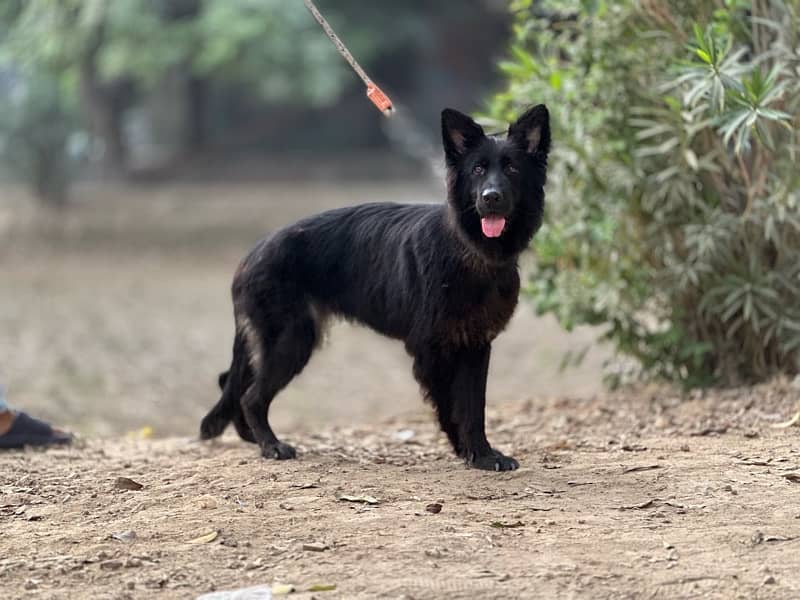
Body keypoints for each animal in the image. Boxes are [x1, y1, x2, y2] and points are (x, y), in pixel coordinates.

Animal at [202, 104, 552, 468]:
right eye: (478, 169)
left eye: (511, 168)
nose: (491, 197)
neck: (467, 249)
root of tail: (252, 254)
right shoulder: (434, 351)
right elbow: (454, 409)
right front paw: (473, 453)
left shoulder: (475, 346)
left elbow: (473, 408)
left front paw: (478, 453)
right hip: (290, 342)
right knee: (251, 396)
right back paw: (271, 445)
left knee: (234, 385)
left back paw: (251, 438)